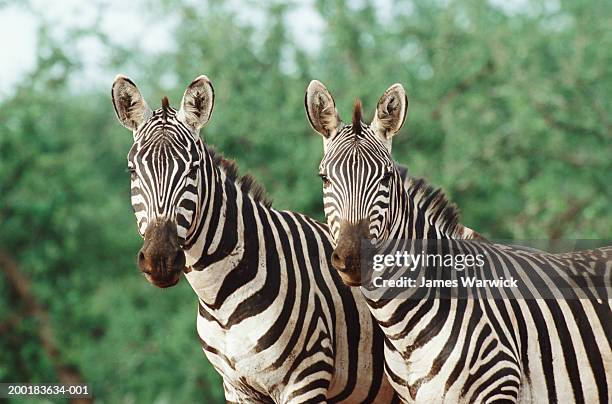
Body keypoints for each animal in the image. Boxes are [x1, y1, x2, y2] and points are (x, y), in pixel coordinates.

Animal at [110, 74, 400, 402]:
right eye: (133, 171)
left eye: (193, 170)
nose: (160, 259)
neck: (218, 300)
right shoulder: (236, 387)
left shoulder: (306, 380)